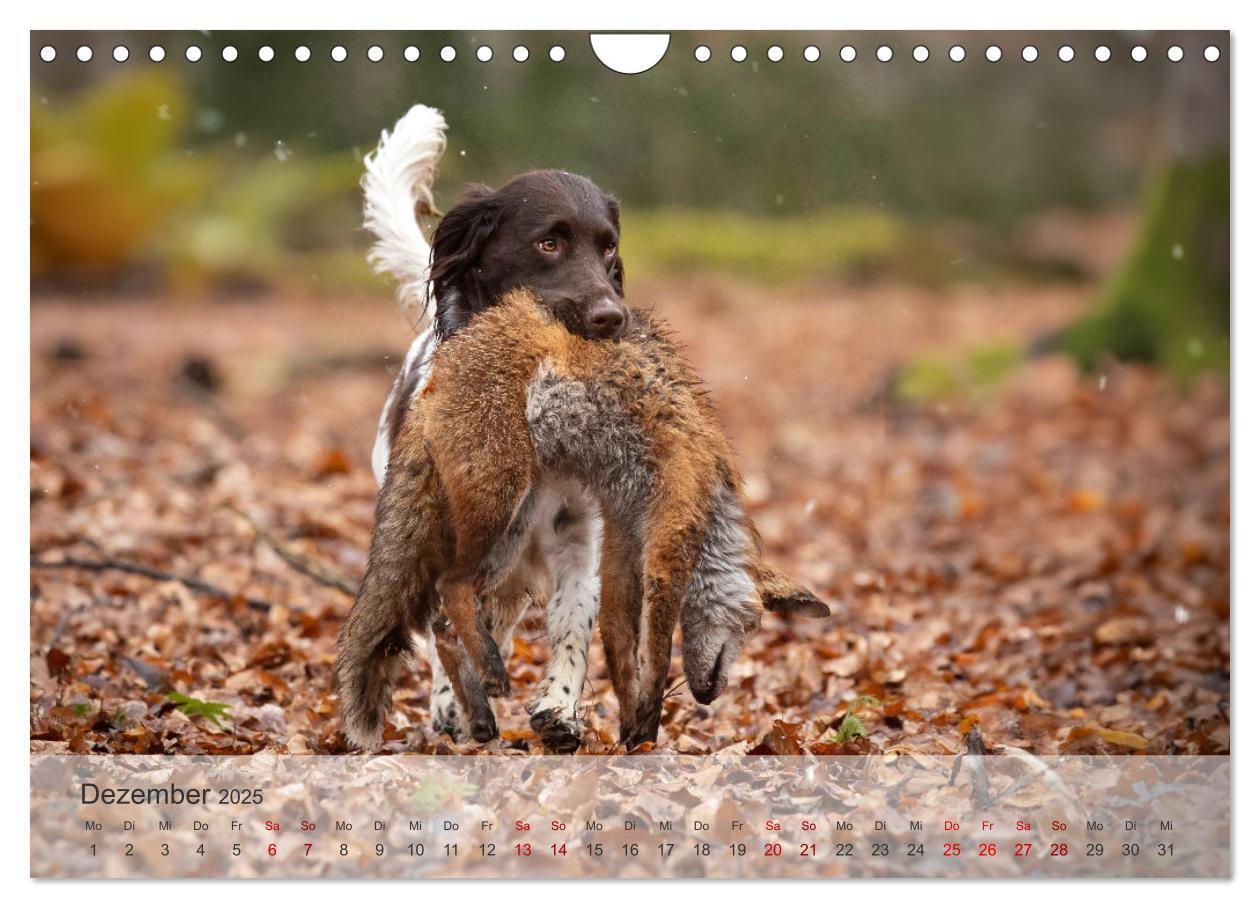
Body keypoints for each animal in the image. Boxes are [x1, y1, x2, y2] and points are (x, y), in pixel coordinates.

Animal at [337, 290, 826, 750]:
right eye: (752, 626)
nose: (710, 697)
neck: (716, 501)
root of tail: (434, 369)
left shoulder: (622, 530)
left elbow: (618, 644)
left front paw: (631, 731)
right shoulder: (671, 537)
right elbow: (658, 655)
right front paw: (648, 727)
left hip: (509, 534)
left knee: (442, 622)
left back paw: (479, 714)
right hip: (500, 497)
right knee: (448, 587)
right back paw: (492, 672)